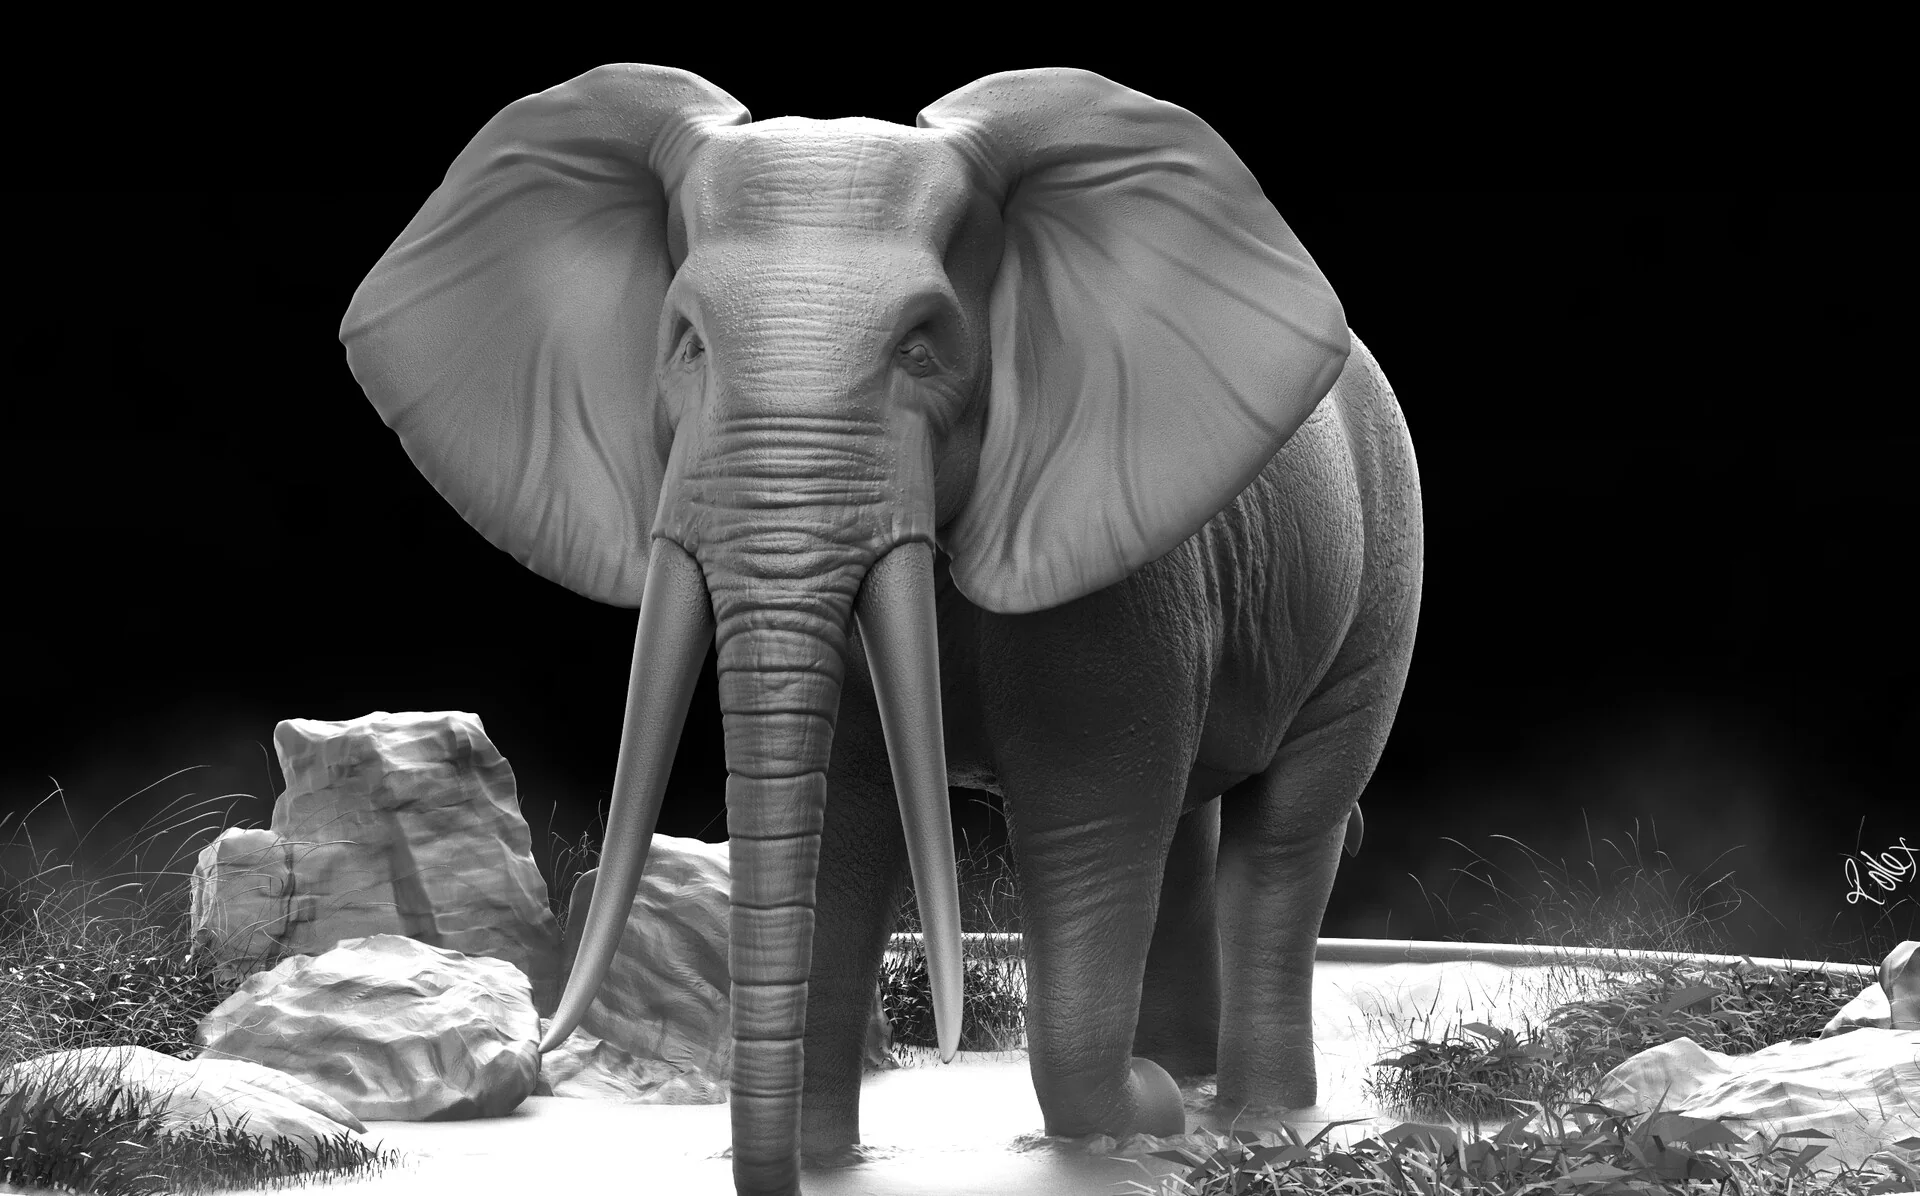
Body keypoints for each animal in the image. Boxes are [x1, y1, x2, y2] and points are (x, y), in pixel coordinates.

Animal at [339, 64, 1422, 1195]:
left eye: (921, 346)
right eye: (685, 343)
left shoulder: (1124, 572)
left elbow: (1091, 817)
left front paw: (1139, 1120)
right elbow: (846, 819)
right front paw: (828, 1162)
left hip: (1384, 565)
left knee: (1285, 828)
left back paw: (1249, 1115)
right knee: (1194, 825)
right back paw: (1195, 1080)